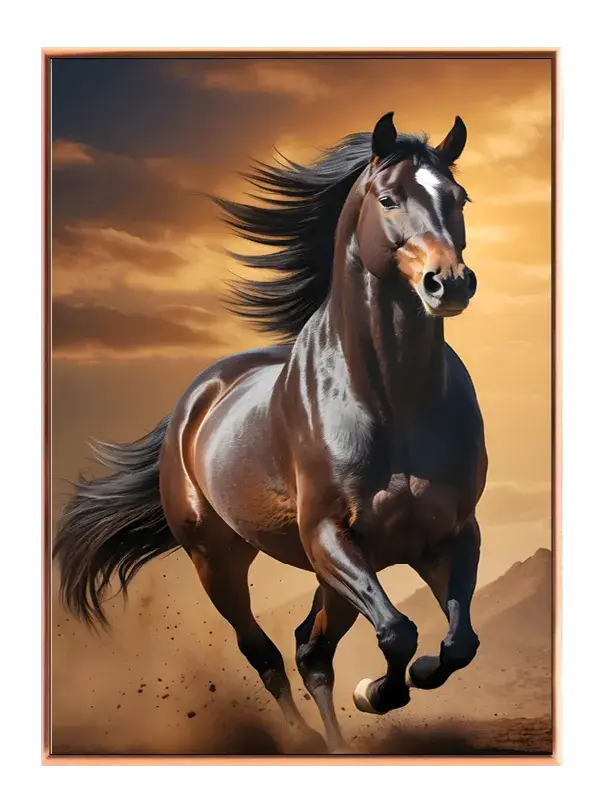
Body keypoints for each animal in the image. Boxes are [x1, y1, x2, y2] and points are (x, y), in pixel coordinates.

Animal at [53, 111, 487, 755]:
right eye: (387, 198)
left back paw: (336, 742)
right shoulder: (330, 536)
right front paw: (378, 692)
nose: (449, 284)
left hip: (328, 573)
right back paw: (304, 738)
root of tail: (196, 399)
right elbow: (398, 632)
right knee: (266, 651)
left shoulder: (450, 535)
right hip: (218, 558)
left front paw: (398, 685)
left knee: (312, 648)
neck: (396, 403)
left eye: (458, 198)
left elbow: (456, 644)